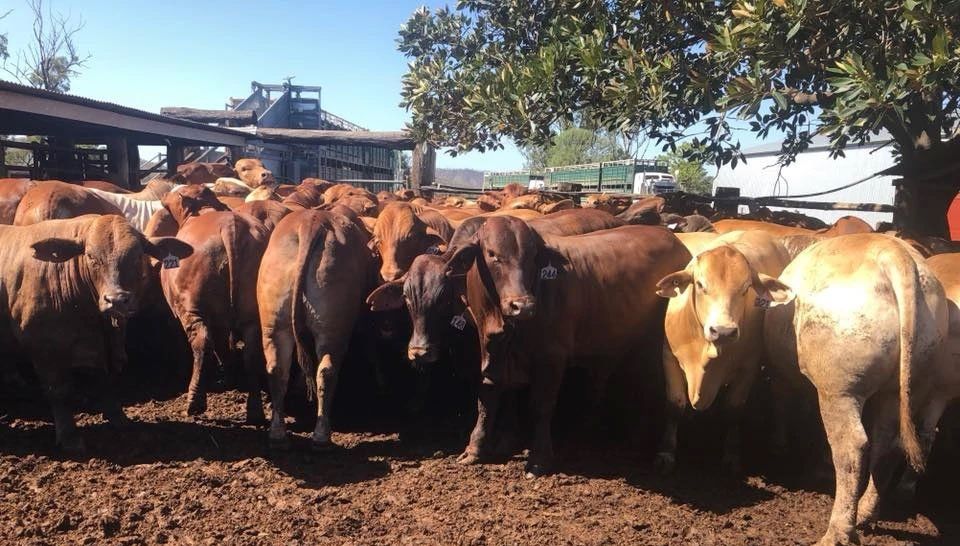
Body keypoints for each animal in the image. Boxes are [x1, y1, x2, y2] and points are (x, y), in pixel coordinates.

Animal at [0, 215, 191, 450]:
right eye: (91, 256)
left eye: (138, 256)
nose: (116, 300)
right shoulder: (44, 348)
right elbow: (59, 391)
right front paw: (69, 436)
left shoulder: (101, 346)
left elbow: (105, 379)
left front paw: (118, 418)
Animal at [159, 210, 270, 421]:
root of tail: (231, 226)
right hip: (253, 312)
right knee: (251, 353)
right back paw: (254, 410)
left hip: (192, 307)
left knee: (202, 342)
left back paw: (195, 402)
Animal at [258, 209, 374, 449]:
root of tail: (311, 223)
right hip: (332, 330)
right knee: (326, 371)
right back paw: (321, 436)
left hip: (274, 324)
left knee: (276, 369)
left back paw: (277, 434)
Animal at [653, 230, 793, 474]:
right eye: (700, 284)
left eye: (746, 288)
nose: (724, 331)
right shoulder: (669, 357)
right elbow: (675, 405)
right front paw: (666, 452)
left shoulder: (749, 367)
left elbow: (734, 410)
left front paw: (731, 454)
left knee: (780, 393)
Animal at [764, 234, 949, 546]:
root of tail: (893, 253)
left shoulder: (785, 376)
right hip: (904, 382)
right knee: (888, 442)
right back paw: (865, 513)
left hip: (839, 389)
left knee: (851, 447)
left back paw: (837, 532)